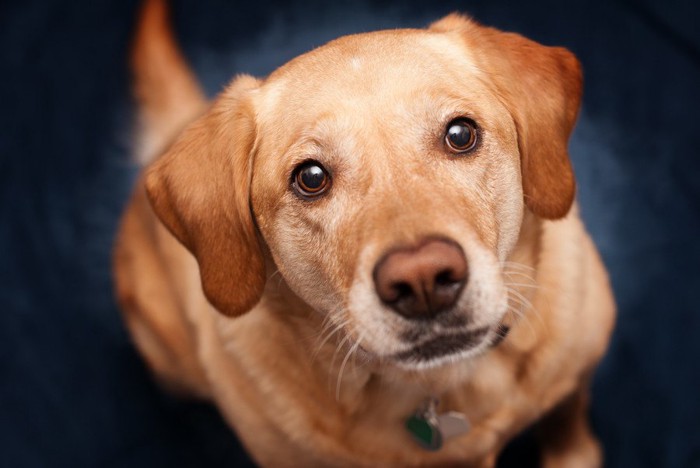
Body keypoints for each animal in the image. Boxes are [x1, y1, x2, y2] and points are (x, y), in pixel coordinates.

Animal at [115, 1, 616, 466]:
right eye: (311, 177)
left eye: (460, 133)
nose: (422, 280)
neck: (443, 387)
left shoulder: (576, 374)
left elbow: (567, 414)